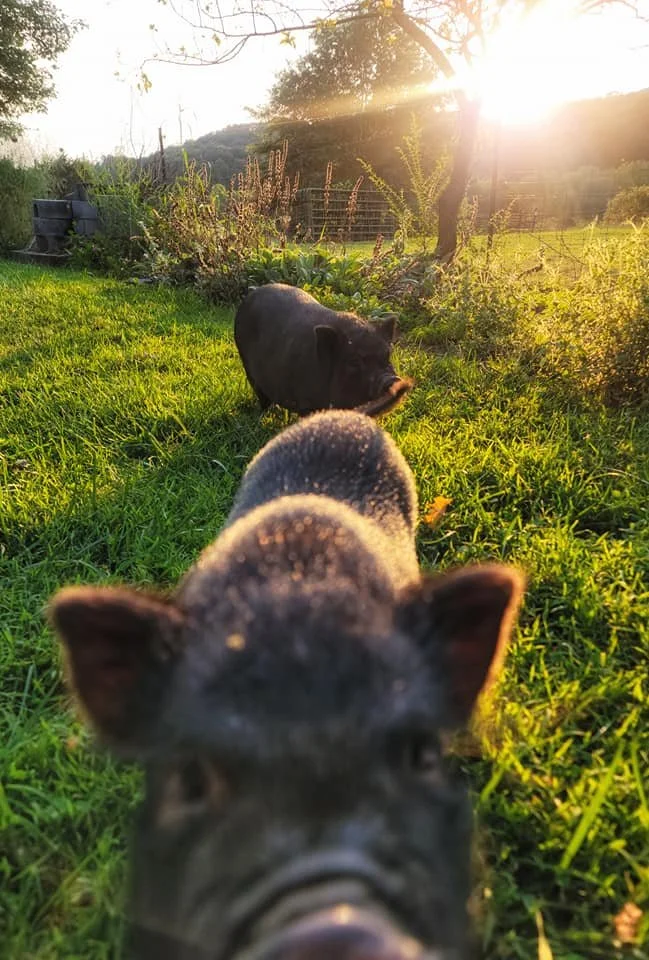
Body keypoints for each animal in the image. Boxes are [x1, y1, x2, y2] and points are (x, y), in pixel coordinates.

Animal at [234, 283, 413, 417]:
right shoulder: (306, 404)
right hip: (246, 365)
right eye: (354, 362)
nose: (391, 379)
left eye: (387, 355)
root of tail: (253, 291)